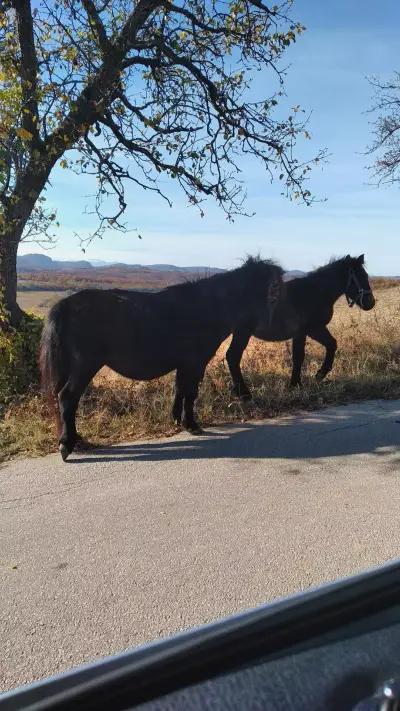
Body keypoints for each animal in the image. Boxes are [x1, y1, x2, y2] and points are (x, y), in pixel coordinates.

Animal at [39, 256, 282, 462]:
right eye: (272, 291)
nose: (264, 323)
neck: (207, 306)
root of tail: (64, 305)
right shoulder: (195, 362)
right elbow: (190, 393)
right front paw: (191, 424)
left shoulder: (185, 364)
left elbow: (180, 389)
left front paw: (178, 419)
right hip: (85, 365)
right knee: (67, 397)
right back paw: (67, 444)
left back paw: (76, 439)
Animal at [227, 256, 376, 400]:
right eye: (361, 276)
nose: (371, 303)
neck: (316, 292)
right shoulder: (312, 330)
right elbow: (304, 354)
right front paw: (305, 380)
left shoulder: (306, 332)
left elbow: (321, 348)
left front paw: (305, 380)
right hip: (242, 333)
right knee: (232, 356)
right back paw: (244, 393)